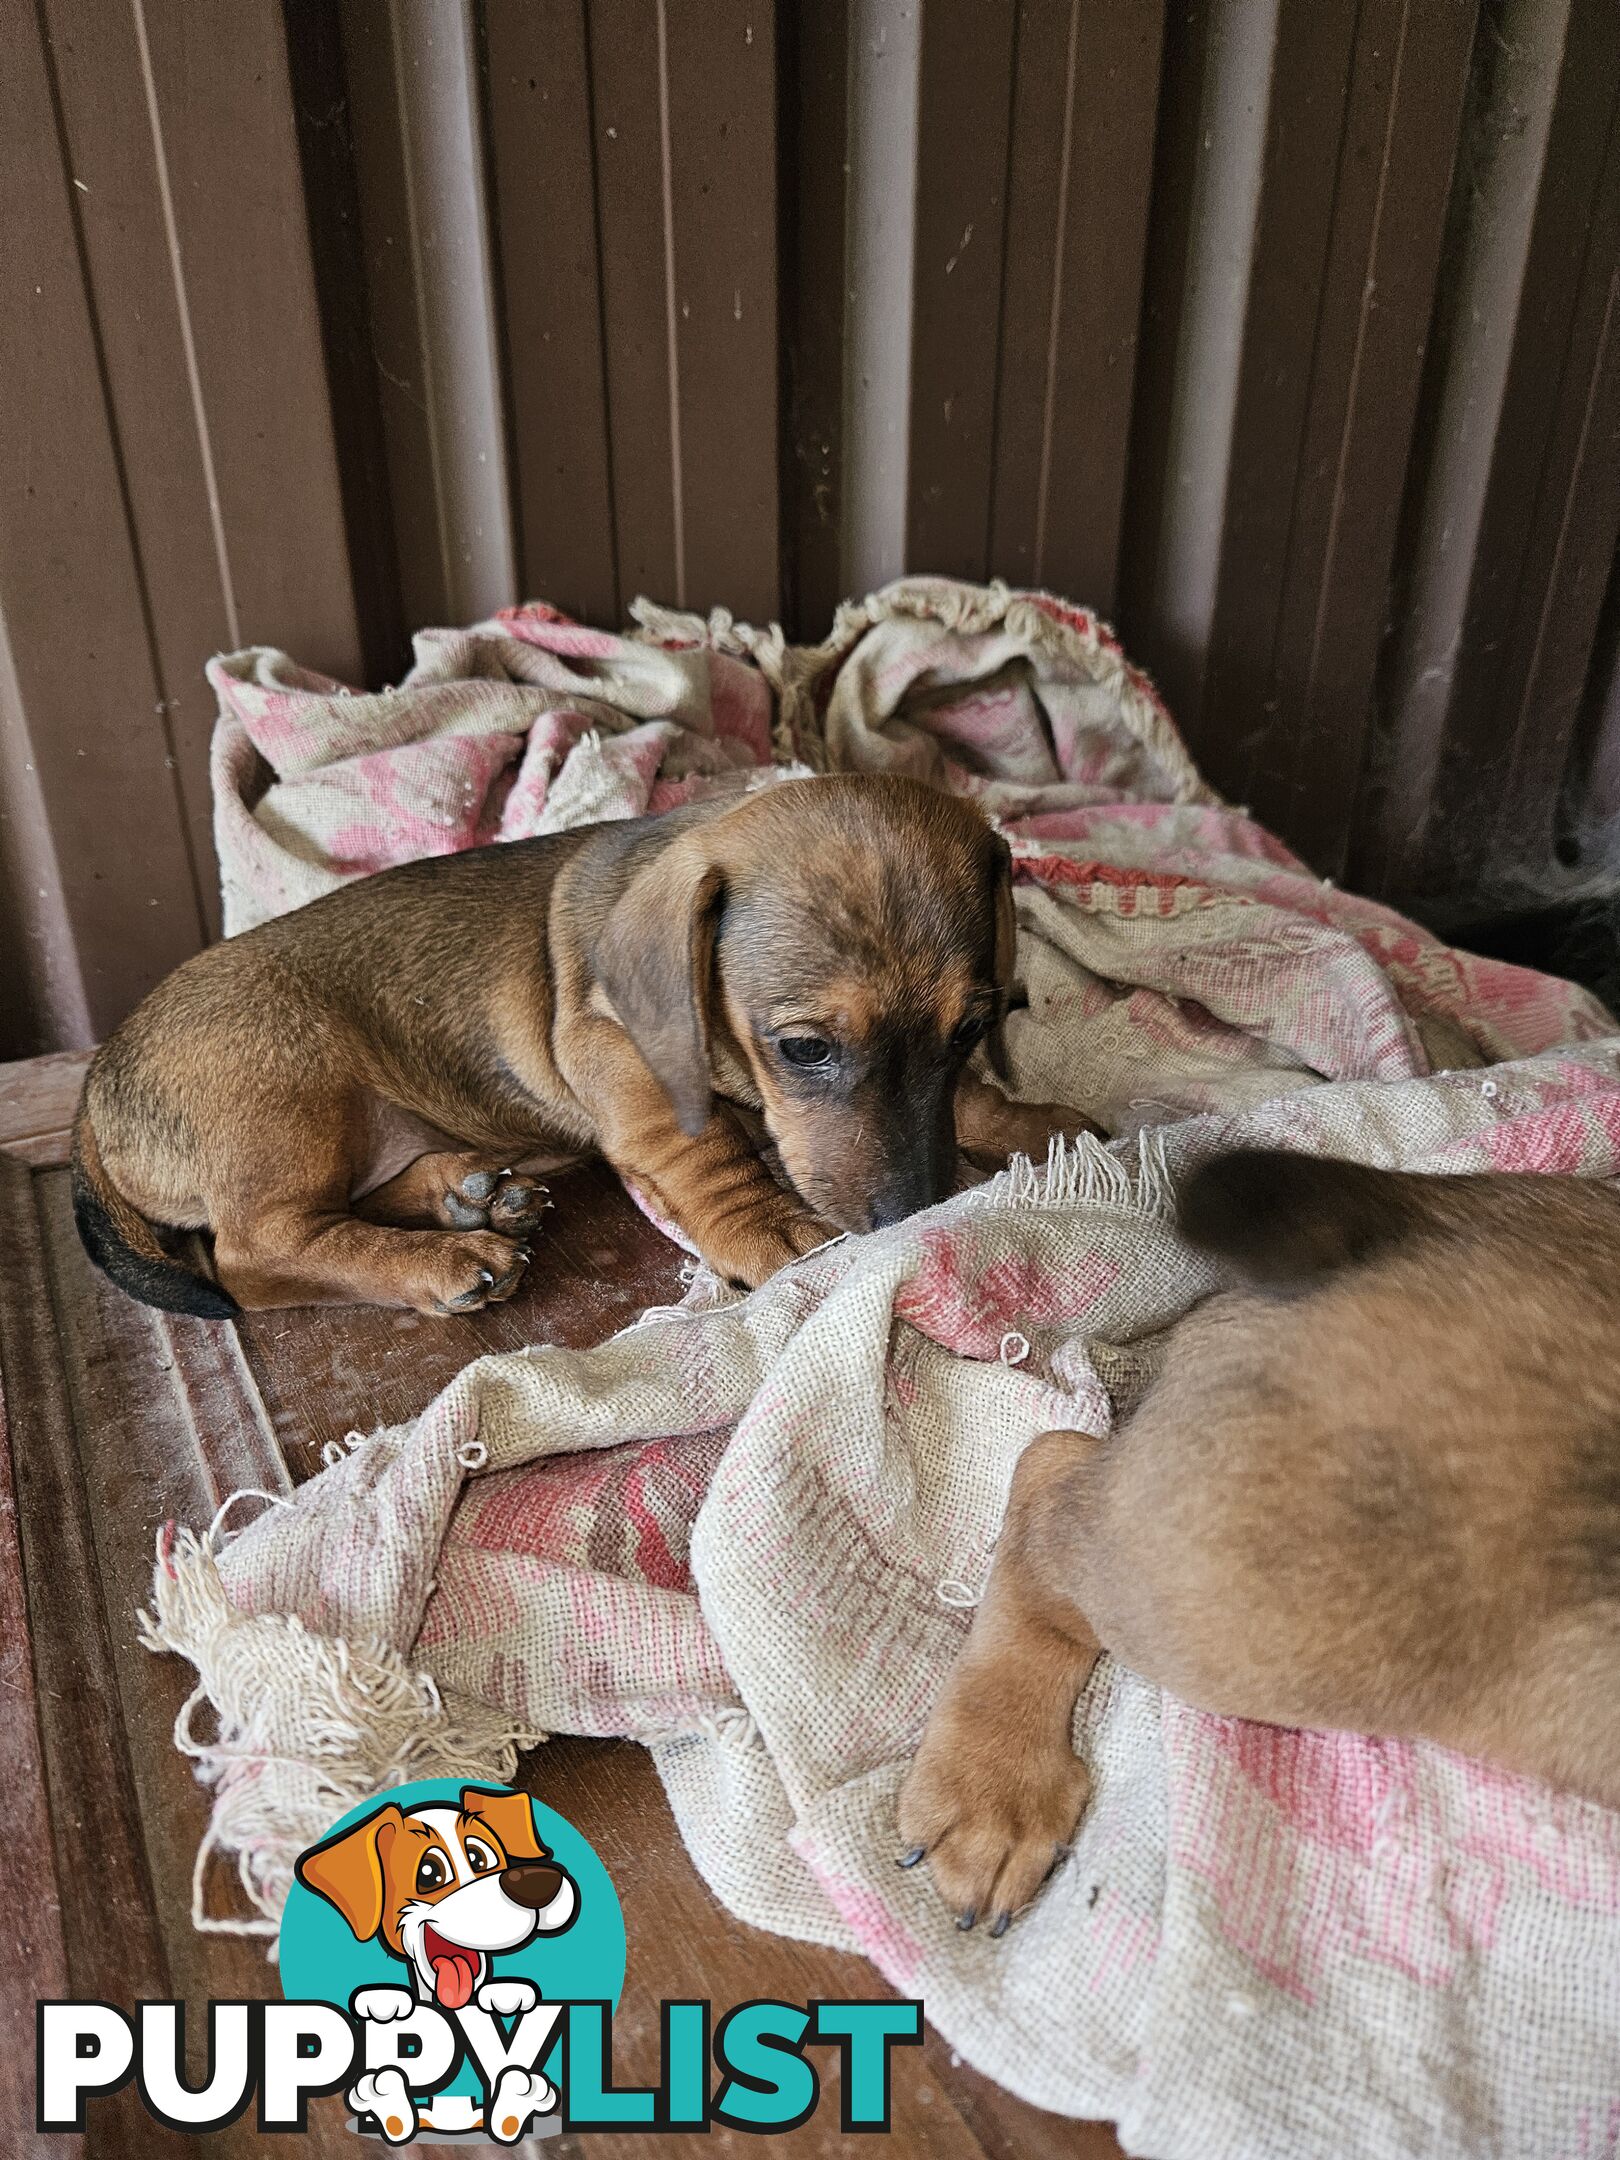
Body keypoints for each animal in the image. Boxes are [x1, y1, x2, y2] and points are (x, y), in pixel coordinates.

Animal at [69, 777, 1097, 1313]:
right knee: (253, 1257)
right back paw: (440, 1260)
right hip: (292, 1097)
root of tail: (95, 1085)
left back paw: (466, 1195)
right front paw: (763, 1221)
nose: (913, 1214)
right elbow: (702, 1146)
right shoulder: (613, 1048)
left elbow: (970, 1098)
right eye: (804, 1049)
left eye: (973, 1028)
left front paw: (1029, 1120)